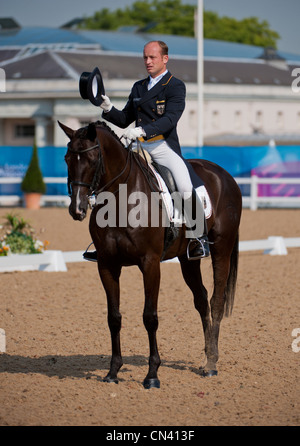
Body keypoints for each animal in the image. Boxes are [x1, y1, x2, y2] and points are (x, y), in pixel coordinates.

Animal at [59, 120, 243, 388]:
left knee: (216, 300)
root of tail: (225, 175)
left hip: (222, 249)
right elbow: (114, 317)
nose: (77, 209)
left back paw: (211, 364)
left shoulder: (150, 263)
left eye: (92, 158)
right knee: (201, 300)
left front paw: (152, 375)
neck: (121, 198)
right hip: (187, 259)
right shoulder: (106, 265)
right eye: (67, 158)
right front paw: (113, 372)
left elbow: (150, 317)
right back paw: (207, 356)